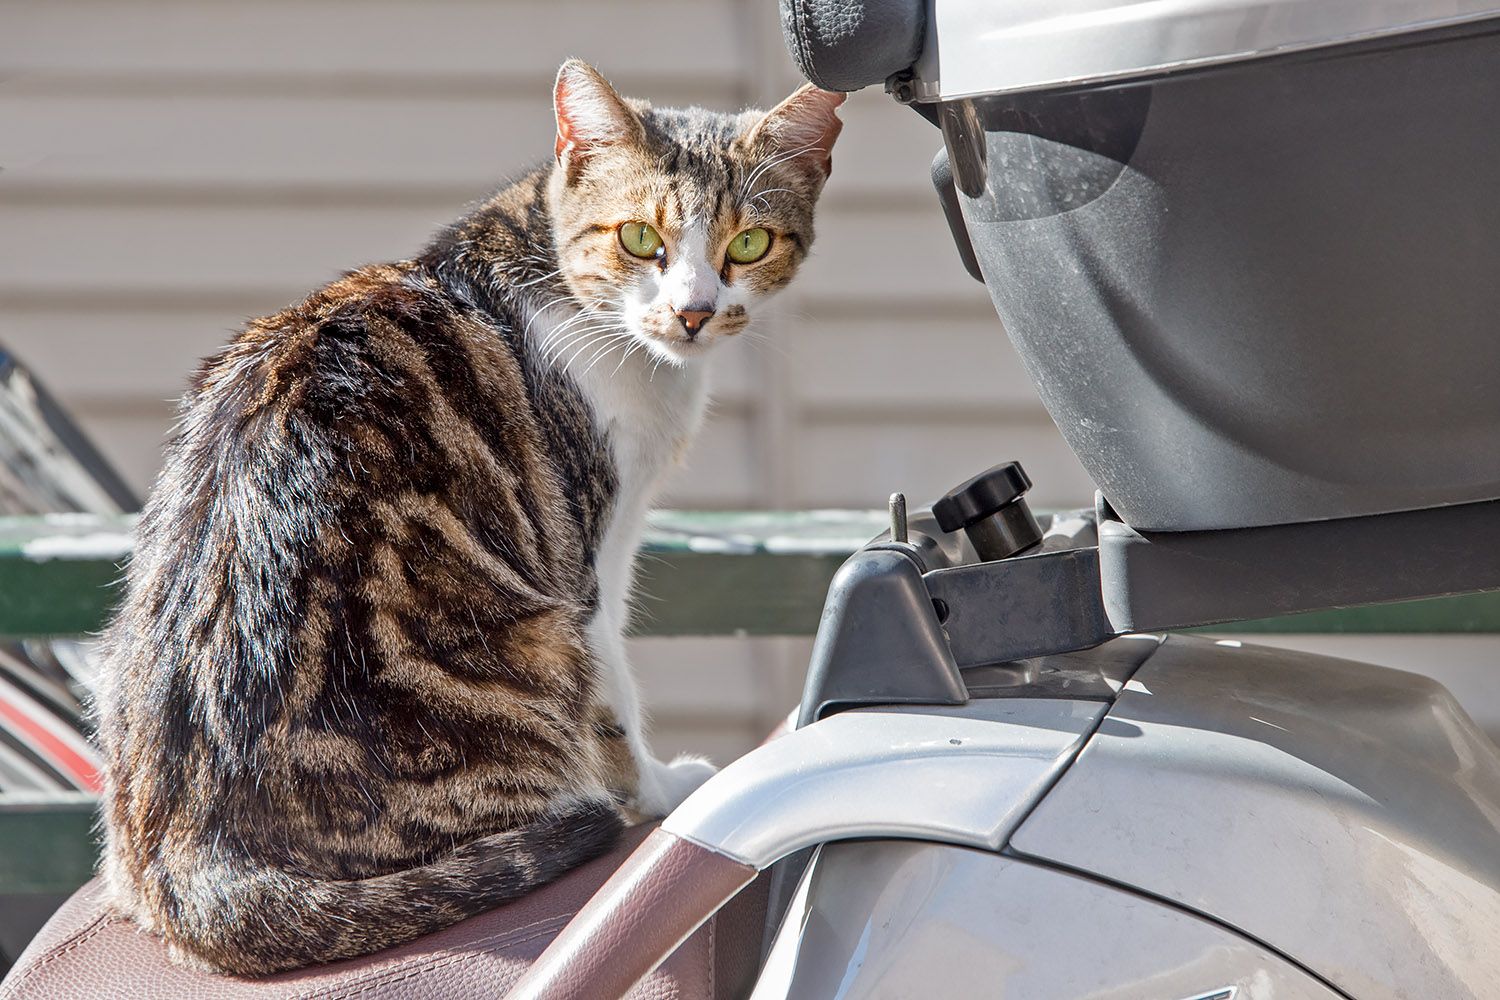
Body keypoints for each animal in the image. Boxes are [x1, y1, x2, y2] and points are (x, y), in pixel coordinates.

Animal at [96, 60, 846, 977]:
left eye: (748, 245)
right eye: (640, 239)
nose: (696, 310)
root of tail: (187, 867)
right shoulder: (588, 553)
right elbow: (616, 700)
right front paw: (665, 792)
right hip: (537, 638)